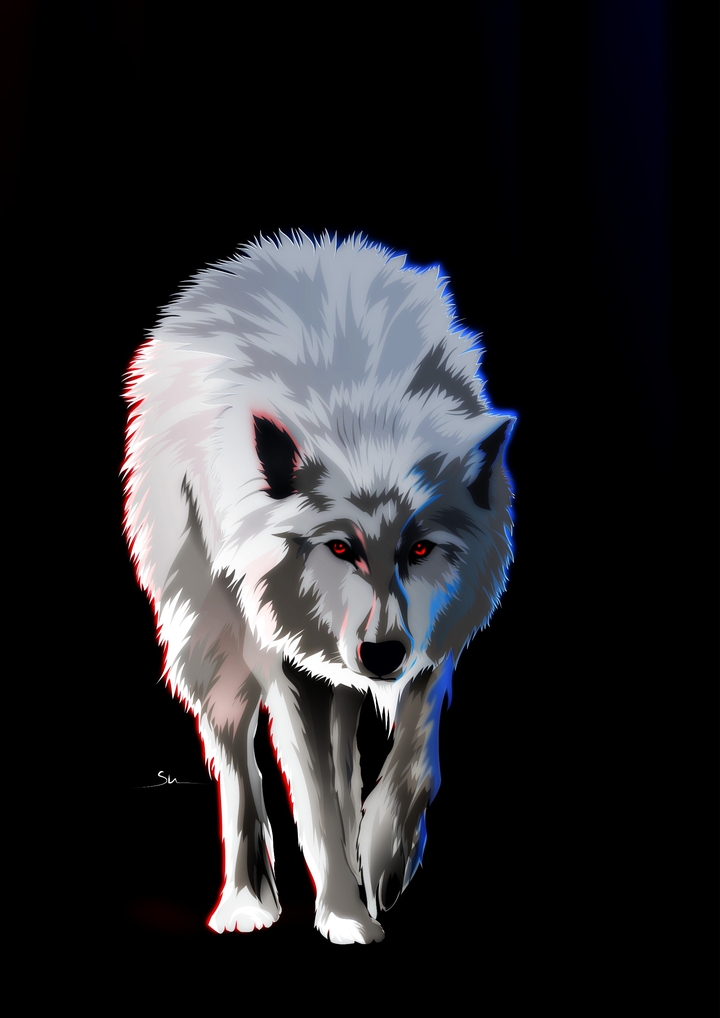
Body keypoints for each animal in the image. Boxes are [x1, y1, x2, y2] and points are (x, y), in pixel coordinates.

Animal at [122, 232, 515, 944]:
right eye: (340, 547)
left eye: (420, 549)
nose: (381, 655)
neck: (365, 413)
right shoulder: (285, 660)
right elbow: (312, 806)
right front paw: (345, 916)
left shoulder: (431, 646)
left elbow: (414, 762)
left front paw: (386, 861)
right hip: (212, 641)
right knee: (237, 763)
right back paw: (246, 902)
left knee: (343, 760)